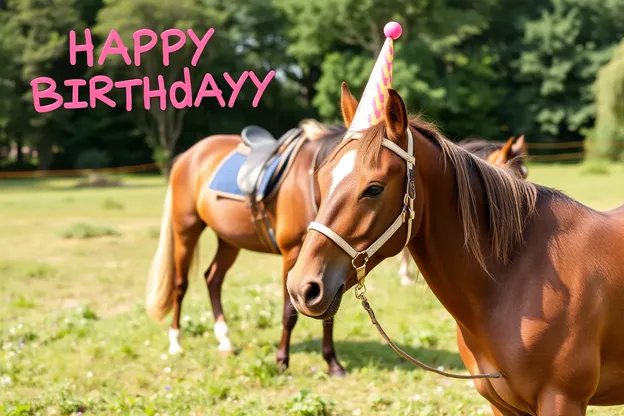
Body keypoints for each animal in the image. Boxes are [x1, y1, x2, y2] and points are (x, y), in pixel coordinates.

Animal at [146, 118, 348, 376]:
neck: (311, 182)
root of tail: (188, 155)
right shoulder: (293, 256)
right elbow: (289, 313)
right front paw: (282, 361)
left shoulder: (328, 268)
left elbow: (328, 313)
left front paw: (333, 363)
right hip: (185, 230)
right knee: (180, 285)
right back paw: (175, 342)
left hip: (229, 240)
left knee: (213, 278)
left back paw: (224, 339)